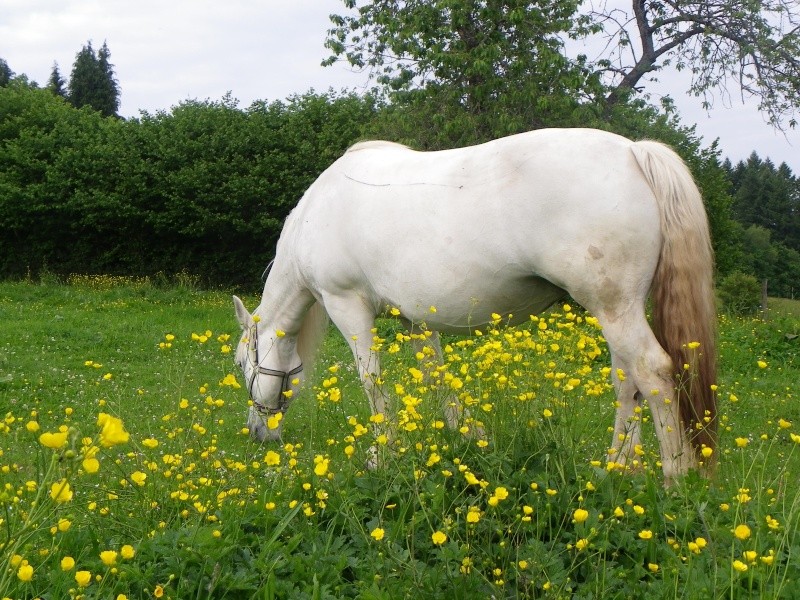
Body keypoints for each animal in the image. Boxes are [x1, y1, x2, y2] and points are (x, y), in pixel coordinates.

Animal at [233, 126, 720, 482]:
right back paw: (617, 467)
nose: (256, 433)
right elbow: (436, 375)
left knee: (652, 373)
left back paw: (675, 477)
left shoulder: (346, 304)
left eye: (241, 365)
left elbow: (372, 379)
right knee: (627, 382)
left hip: (613, 307)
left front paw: (382, 453)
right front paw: (467, 433)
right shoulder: (414, 319)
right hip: (615, 311)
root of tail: (636, 153)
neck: (317, 215)